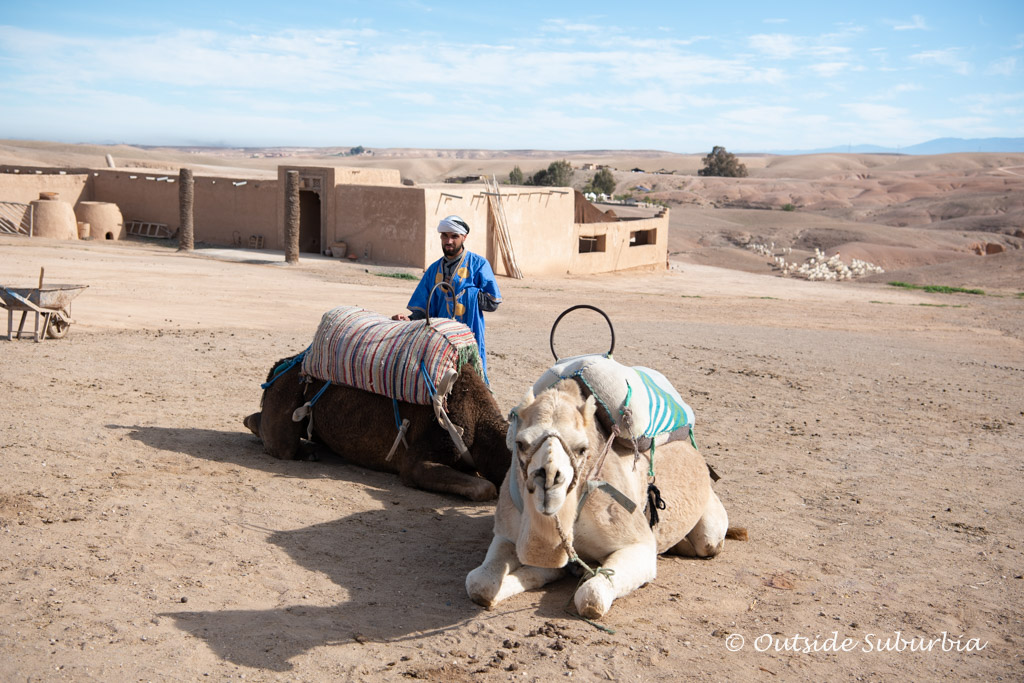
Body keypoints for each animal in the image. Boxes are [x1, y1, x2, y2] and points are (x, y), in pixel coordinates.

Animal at [464, 378, 729, 618]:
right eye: (520, 443)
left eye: (582, 449)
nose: (548, 480)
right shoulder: (507, 534)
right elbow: (480, 583)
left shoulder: (639, 544)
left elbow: (591, 597)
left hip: (710, 529)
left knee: (708, 541)